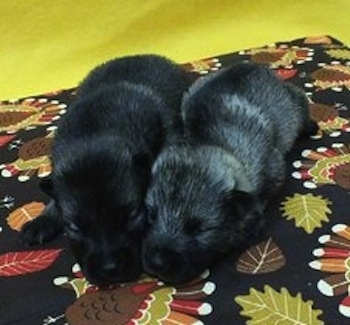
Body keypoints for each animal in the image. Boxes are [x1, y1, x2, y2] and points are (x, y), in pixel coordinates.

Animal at [142, 62, 318, 282]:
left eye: (199, 229)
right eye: (151, 214)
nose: (157, 263)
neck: (205, 142)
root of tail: (252, 64)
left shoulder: (274, 167)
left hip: (293, 102)